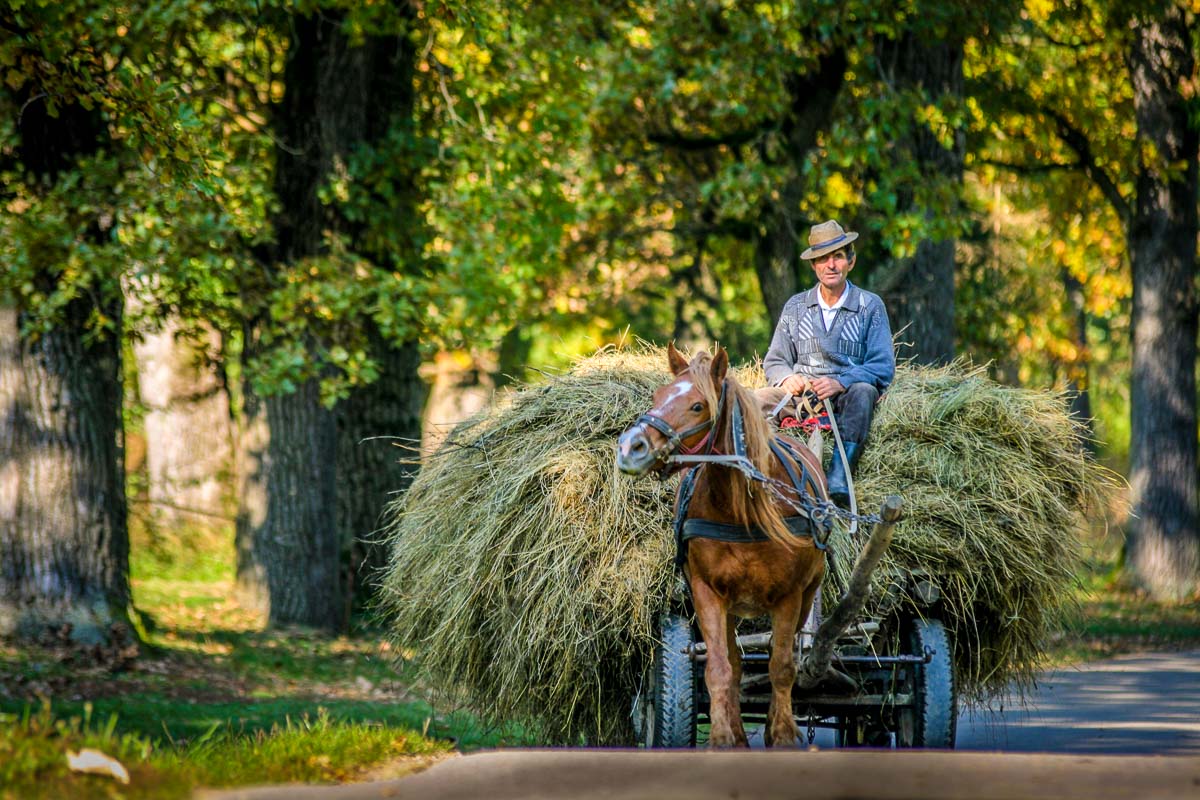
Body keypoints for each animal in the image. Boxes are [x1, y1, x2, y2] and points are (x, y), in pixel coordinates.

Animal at [614, 345, 830, 753]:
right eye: (658, 396)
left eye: (698, 406)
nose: (630, 448)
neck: (740, 509)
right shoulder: (706, 591)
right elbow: (719, 669)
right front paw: (721, 739)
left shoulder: (790, 595)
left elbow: (781, 667)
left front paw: (781, 736)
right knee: (734, 663)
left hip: (807, 595)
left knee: (788, 654)